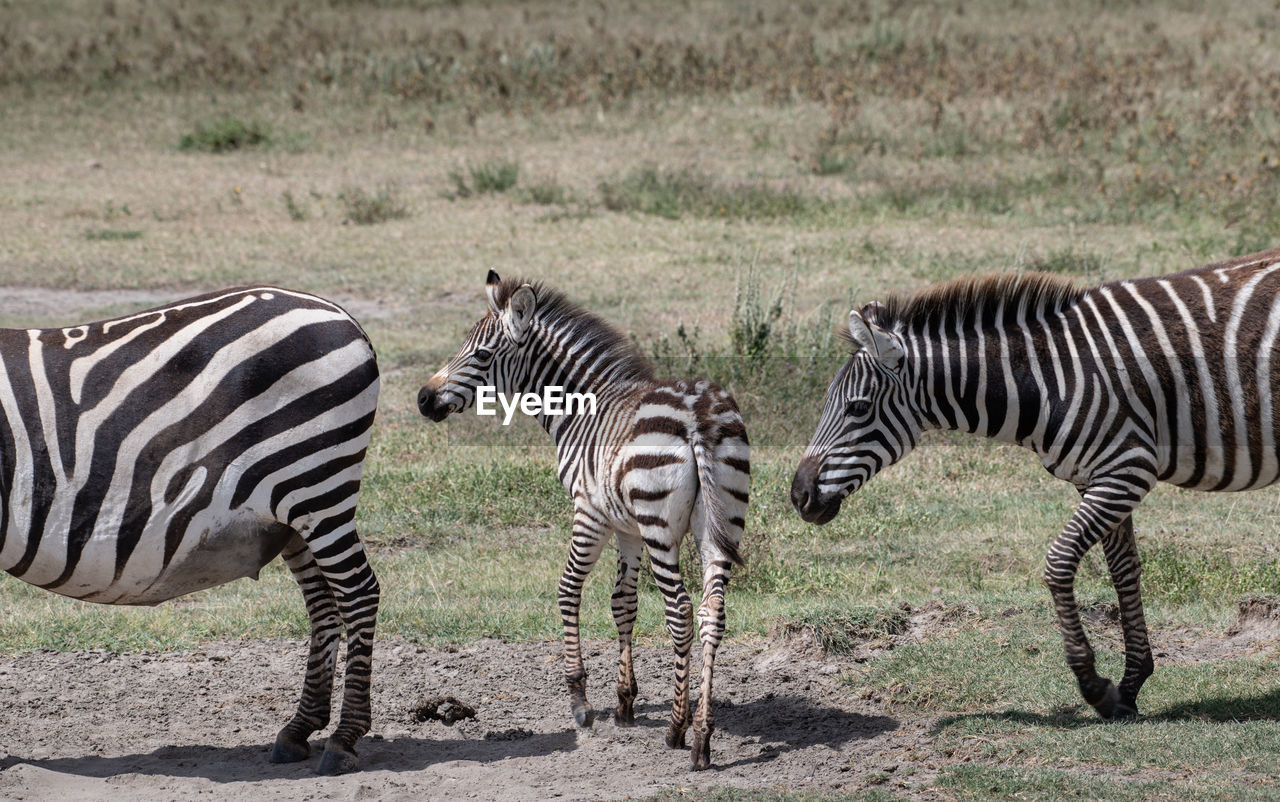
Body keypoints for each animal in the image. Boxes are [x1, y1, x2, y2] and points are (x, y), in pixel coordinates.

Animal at [0, 285, 378, 772]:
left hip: (316, 482)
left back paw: (344, 738)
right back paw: (299, 729)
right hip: (296, 513)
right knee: (324, 603)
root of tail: (340, 313)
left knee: (358, 594)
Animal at [414, 271, 747, 772]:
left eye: (482, 355)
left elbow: (568, 588)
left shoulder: (590, 512)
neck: (578, 408)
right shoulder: (626, 525)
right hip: (719, 522)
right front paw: (625, 702)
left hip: (661, 530)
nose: (423, 399)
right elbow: (623, 602)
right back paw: (703, 738)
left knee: (681, 611)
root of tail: (696, 416)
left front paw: (581, 700)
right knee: (712, 612)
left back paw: (676, 729)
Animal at [788, 244, 1280, 721]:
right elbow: (1123, 570)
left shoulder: (1127, 469)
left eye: (856, 408)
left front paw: (1095, 686)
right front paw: (1131, 685)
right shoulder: (1099, 476)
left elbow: (1059, 562)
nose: (798, 496)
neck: (1048, 380)